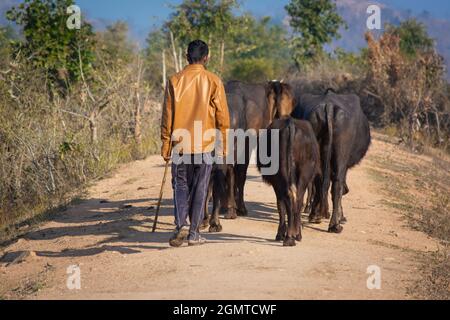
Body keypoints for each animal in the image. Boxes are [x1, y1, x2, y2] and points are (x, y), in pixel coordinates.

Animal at [256, 116, 320, 246]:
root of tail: (290, 124)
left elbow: (281, 206)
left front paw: (281, 233)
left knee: (292, 199)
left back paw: (290, 236)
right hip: (301, 176)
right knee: (296, 199)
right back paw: (294, 235)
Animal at [292, 89, 372, 232]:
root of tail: (328, 106)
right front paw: (341, 215)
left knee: (320, 181)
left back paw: (316, 215)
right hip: (341, 153)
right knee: (336, 184)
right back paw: (335, 224)